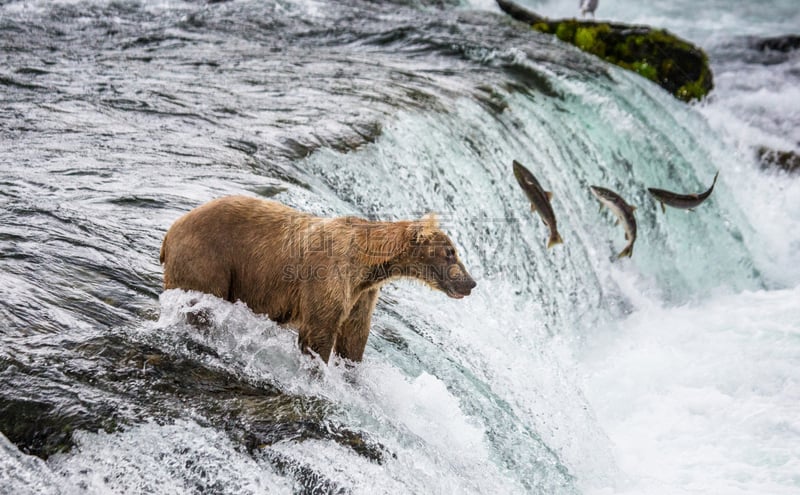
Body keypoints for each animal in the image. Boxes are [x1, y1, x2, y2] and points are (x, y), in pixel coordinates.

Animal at [161, 197, 476, 364]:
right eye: (451, 253)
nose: (471, 283)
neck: (369, 264)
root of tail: (171, 231)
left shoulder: (362, 293)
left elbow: (354, 338)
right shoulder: (328, 276)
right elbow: (320, 331)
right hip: (208, 260)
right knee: (200, 306)